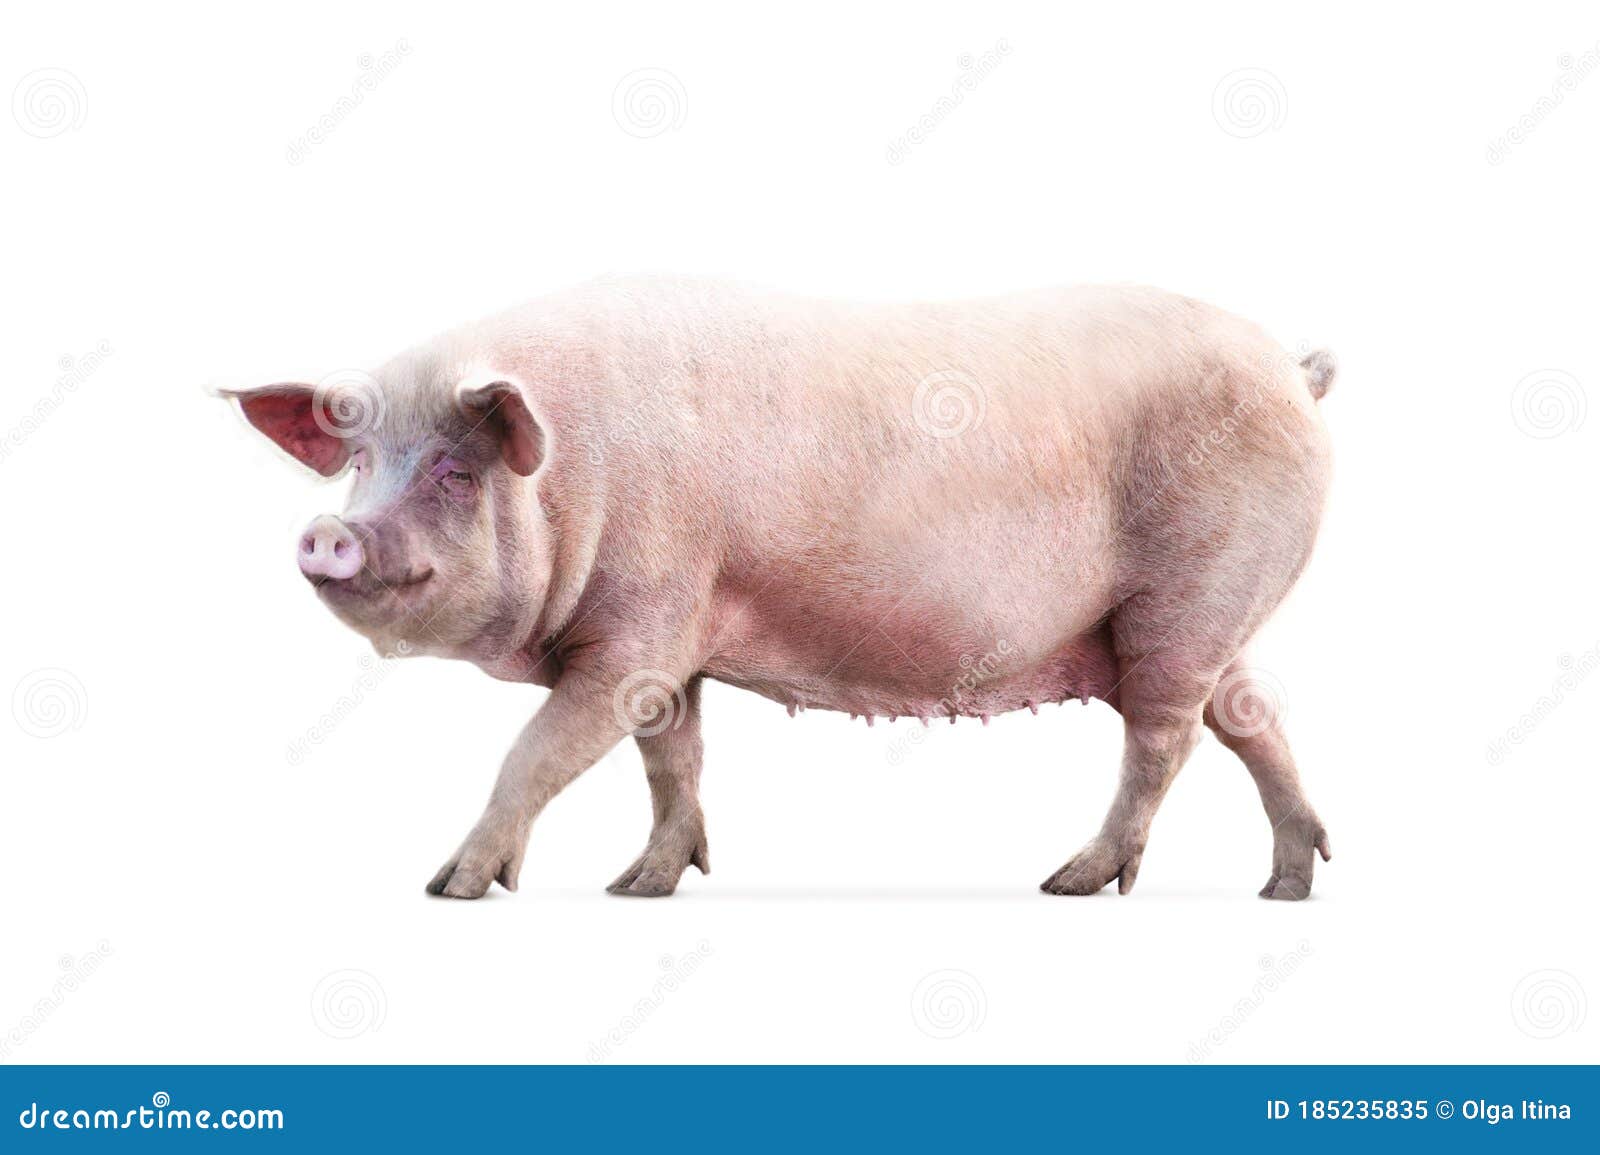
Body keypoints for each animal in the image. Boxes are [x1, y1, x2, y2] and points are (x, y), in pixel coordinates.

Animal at [221, 276, 1335, 901]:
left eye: (456, 471)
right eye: (362, 463)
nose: (328, 533)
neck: (578, 479)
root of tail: (1293, 368)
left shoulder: (638, 631)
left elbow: (536, 753)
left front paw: (450, 890)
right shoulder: (678, 642)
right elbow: (671, 759)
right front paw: (640, 888)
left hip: (1187, 595)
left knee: (1165, 739)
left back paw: (1073, 882)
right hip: (1206, 617)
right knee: (1251, 716)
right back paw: (1286, 885)